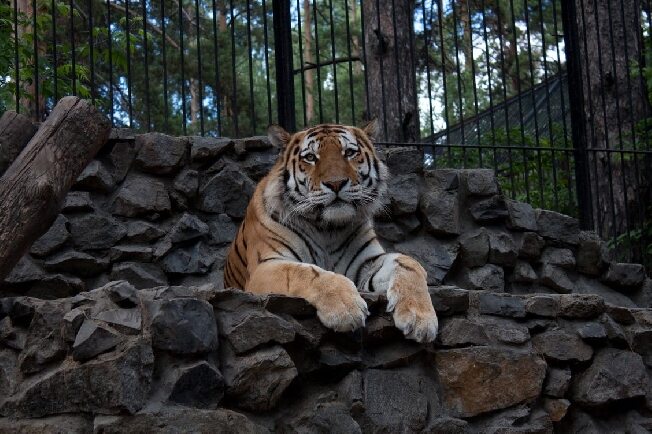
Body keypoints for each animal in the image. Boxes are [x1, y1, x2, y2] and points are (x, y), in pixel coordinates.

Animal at [223, 121, 438, 342]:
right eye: (310, 157)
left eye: (349, 153)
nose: (336, 183)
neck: (328, 228)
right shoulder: (264, 267)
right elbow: (306, 271)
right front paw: (346, 309)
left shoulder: (365, 262)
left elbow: (408, 263)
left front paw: (421, 319)